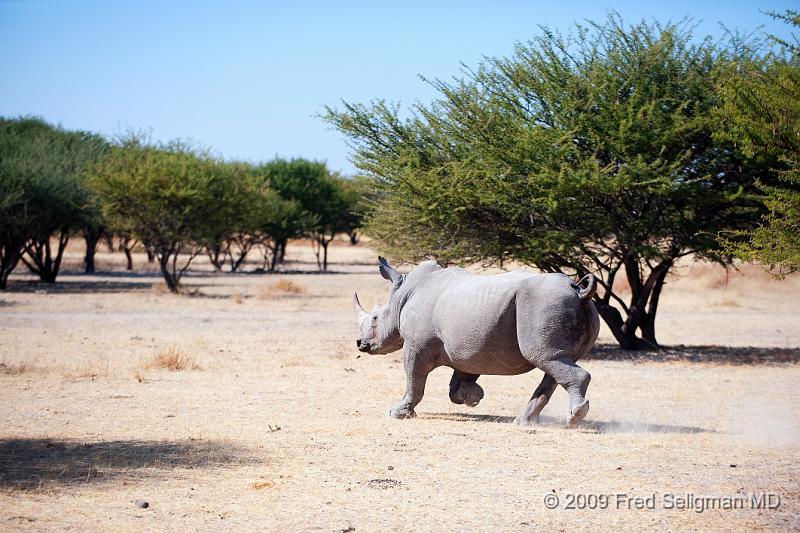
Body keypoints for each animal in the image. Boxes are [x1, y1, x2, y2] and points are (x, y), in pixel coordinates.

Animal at [352, 256, 600, 426]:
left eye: (375, 319)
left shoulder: (415, 346)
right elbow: (457, 382)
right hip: (566, 308)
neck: (401, 297)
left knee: (545, 357)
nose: (359, 343)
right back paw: (523, 422)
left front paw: (398, 413)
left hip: (543, 304)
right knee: (554, 361)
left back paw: (573, 417)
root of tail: (578, 291)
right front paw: (473, 397)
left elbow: (414, 379)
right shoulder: (469, 349)